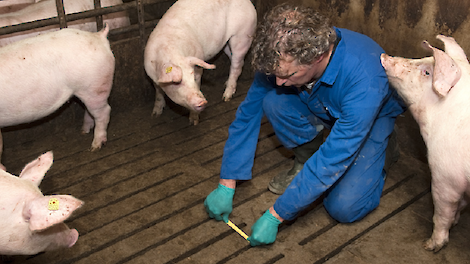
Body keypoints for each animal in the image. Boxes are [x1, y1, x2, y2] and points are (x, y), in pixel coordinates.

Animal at [382, 34, 470, 252]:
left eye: (427, 72)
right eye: (423, 58)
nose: (385, 55)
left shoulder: (445, 176)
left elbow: (442, 212)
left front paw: (431, 245)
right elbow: (461, 205)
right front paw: (456, 222)